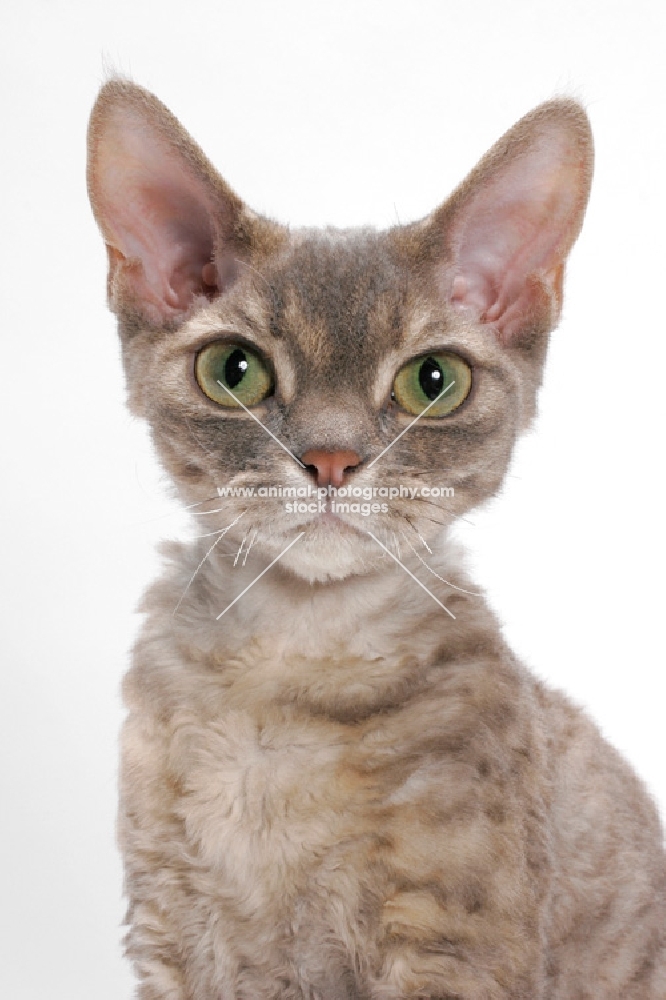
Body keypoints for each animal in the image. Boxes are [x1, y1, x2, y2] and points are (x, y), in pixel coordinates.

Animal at [85, 82, 660, 996]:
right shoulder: (169, 931)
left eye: (433, 382)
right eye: (235, 371)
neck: (293, 656)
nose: (330, 458)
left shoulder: (454, 945)